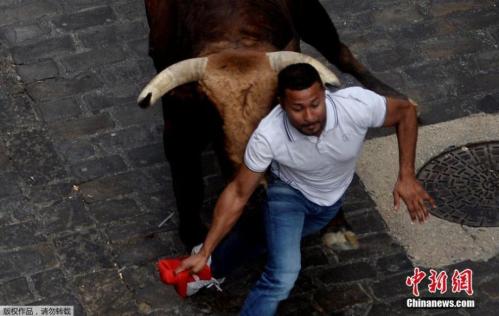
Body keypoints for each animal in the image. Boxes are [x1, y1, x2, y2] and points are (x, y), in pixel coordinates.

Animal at [137, 0, 406, 248]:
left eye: (274, 105)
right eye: (212, 114)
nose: (256, 191)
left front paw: (336, 226)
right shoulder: (178, 124)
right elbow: (187, 180)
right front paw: (194, 236)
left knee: (337, 50)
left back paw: (392, 95)